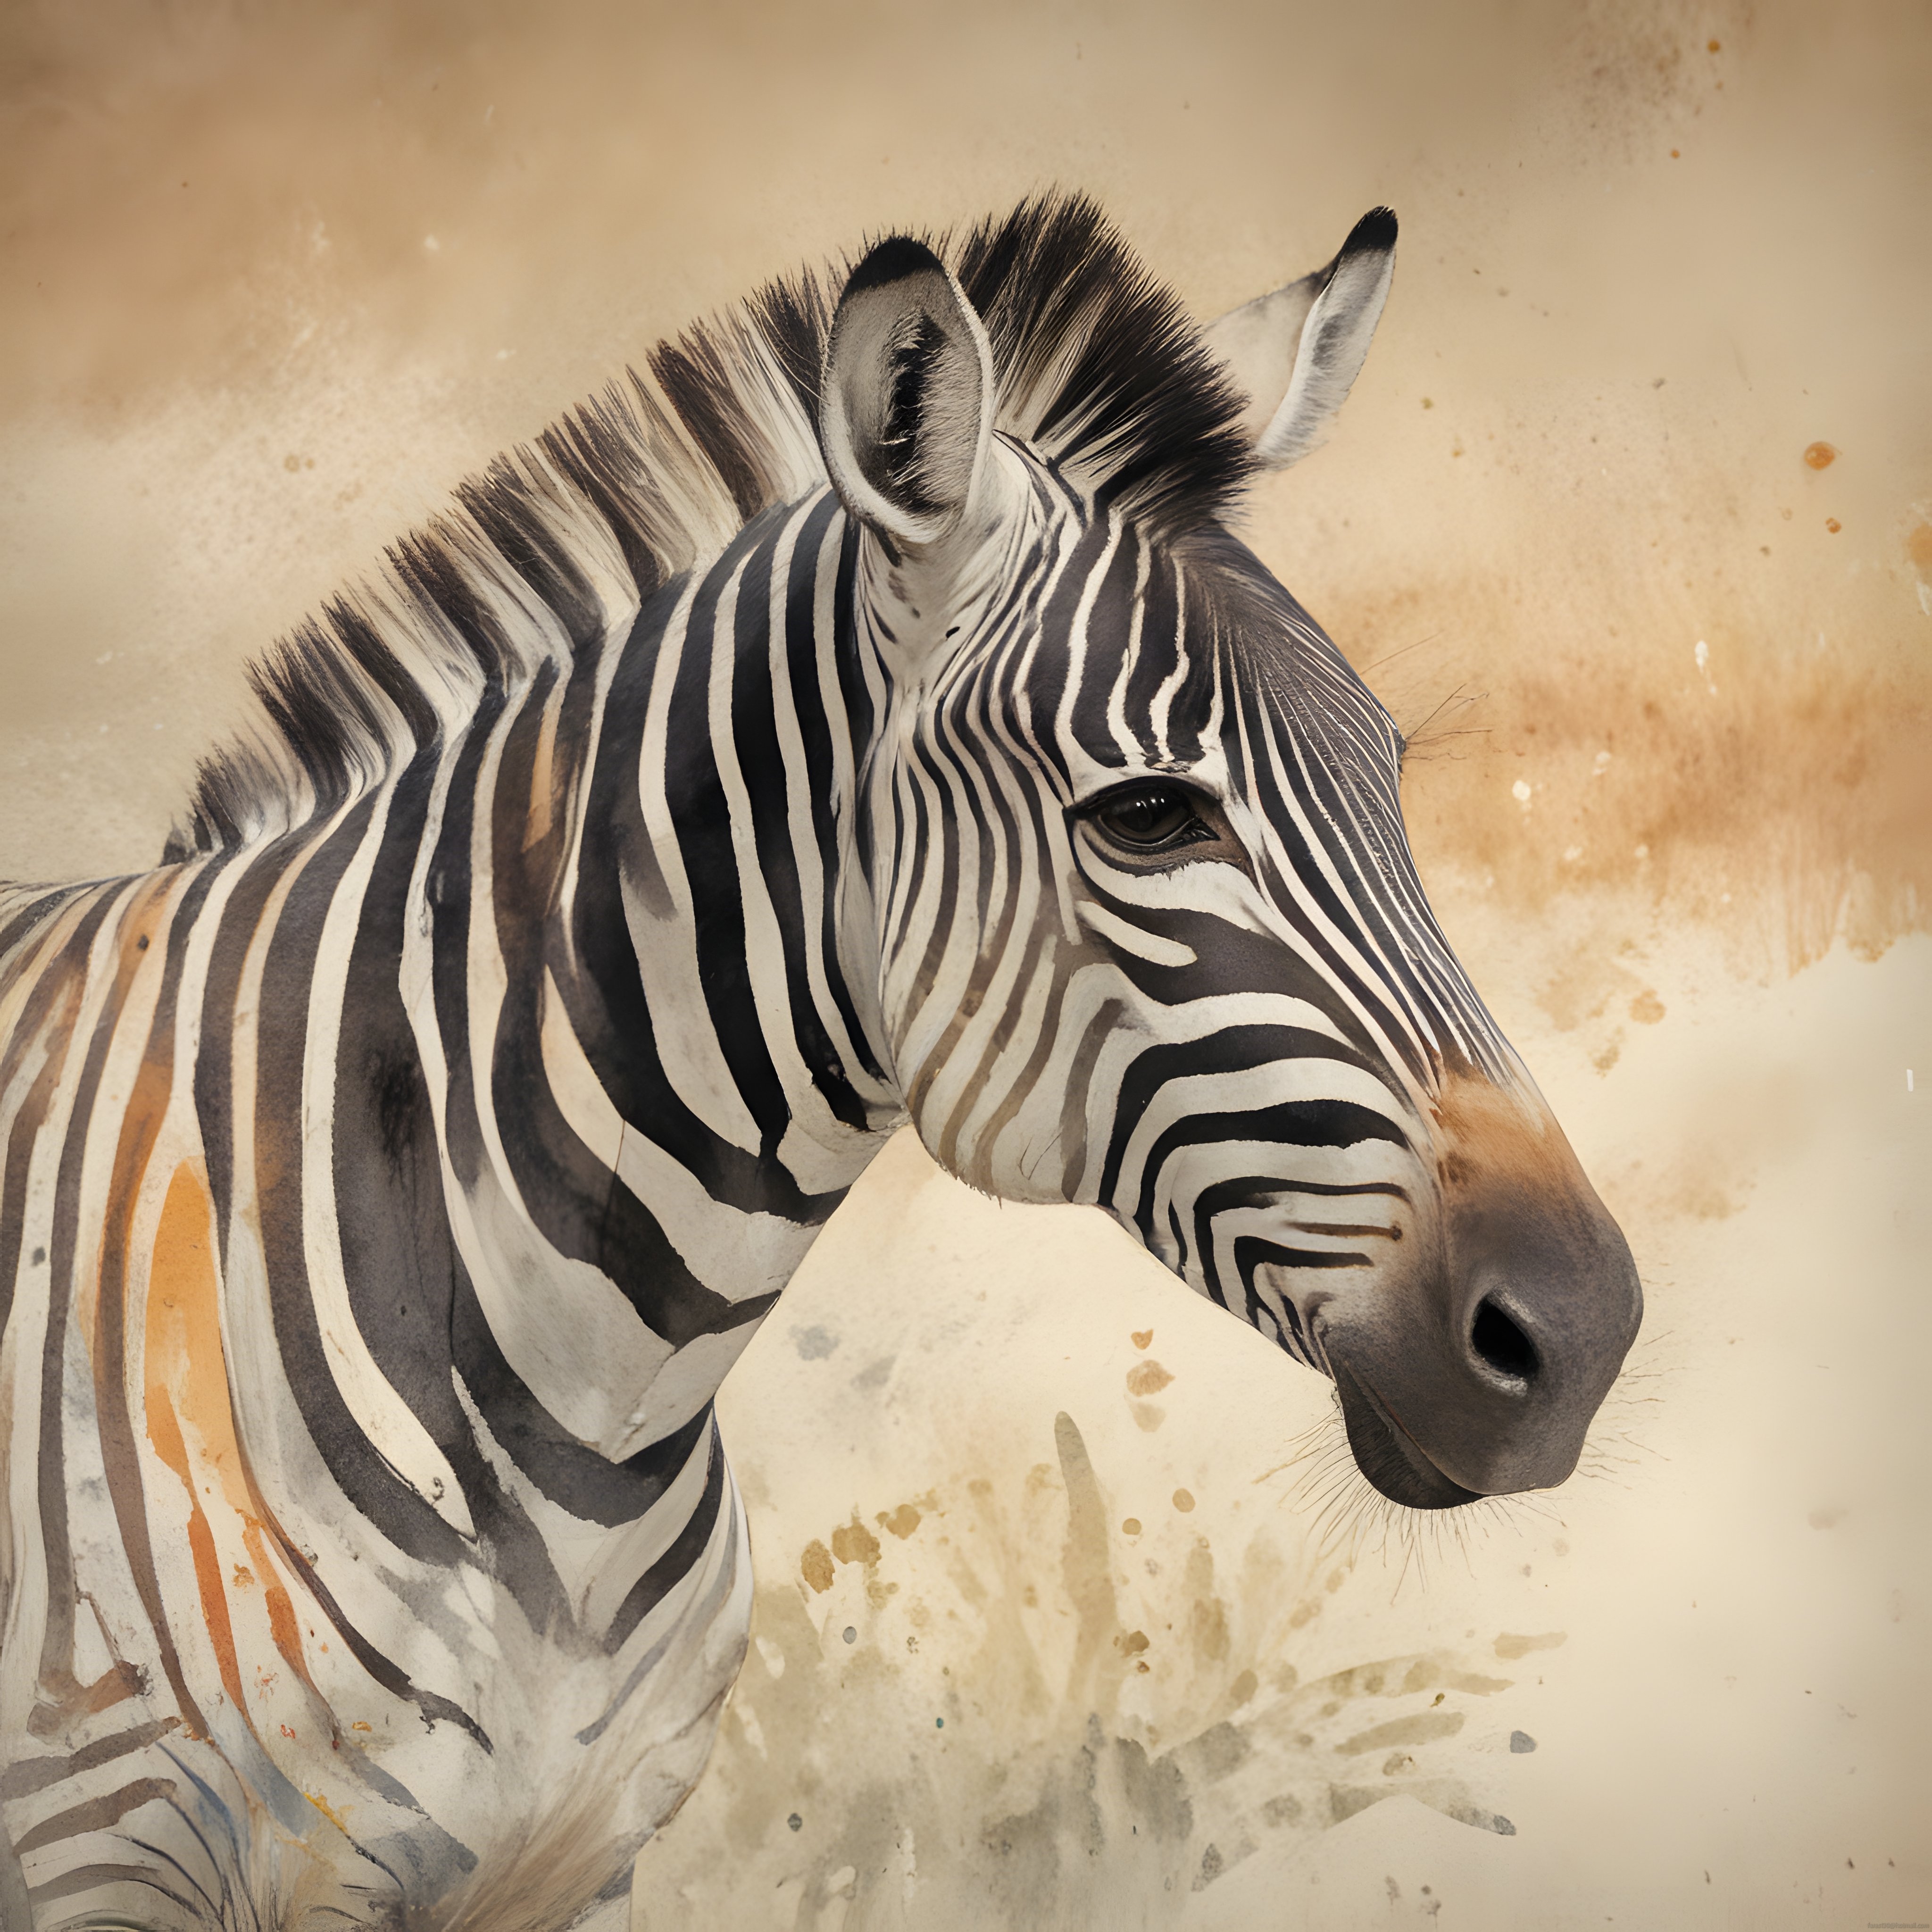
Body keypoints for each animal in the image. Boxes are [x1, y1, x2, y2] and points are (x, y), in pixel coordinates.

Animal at [0, 194, 1641, 1930]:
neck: (586, 1432)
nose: (1585, 1334)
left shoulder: (577, 1865)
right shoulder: (107, 1855)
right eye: (1149, 814)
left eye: (1394, 774)